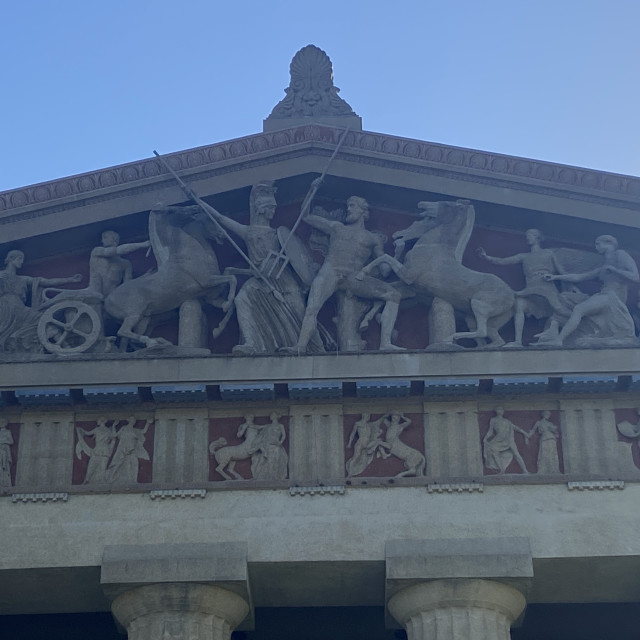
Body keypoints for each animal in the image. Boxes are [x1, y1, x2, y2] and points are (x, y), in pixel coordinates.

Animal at [105, 206, 238, 348]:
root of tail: (107, 300)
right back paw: (154, 342)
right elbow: (232, 278)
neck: (189, 255)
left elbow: (230, 289)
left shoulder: (211, 297)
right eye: (173, 210)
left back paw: (161, 342)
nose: (223, 233)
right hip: (134, 314)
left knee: (132, 340)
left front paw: (218, 329)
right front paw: (227, 304)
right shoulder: (207, 280)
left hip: (145, 319)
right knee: (123, 331)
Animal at [360, 201, 516, 348]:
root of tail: (512, 296)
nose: (421, 203)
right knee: (494, 339)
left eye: (446, 203)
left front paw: (362, 273)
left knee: (482, 331)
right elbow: (386, 292)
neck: (433, 248)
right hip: (475, 320)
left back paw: (450, 338)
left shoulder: (407, 275)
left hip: (479, 306)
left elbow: (385, 257)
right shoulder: (411, 288)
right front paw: (367, 321)